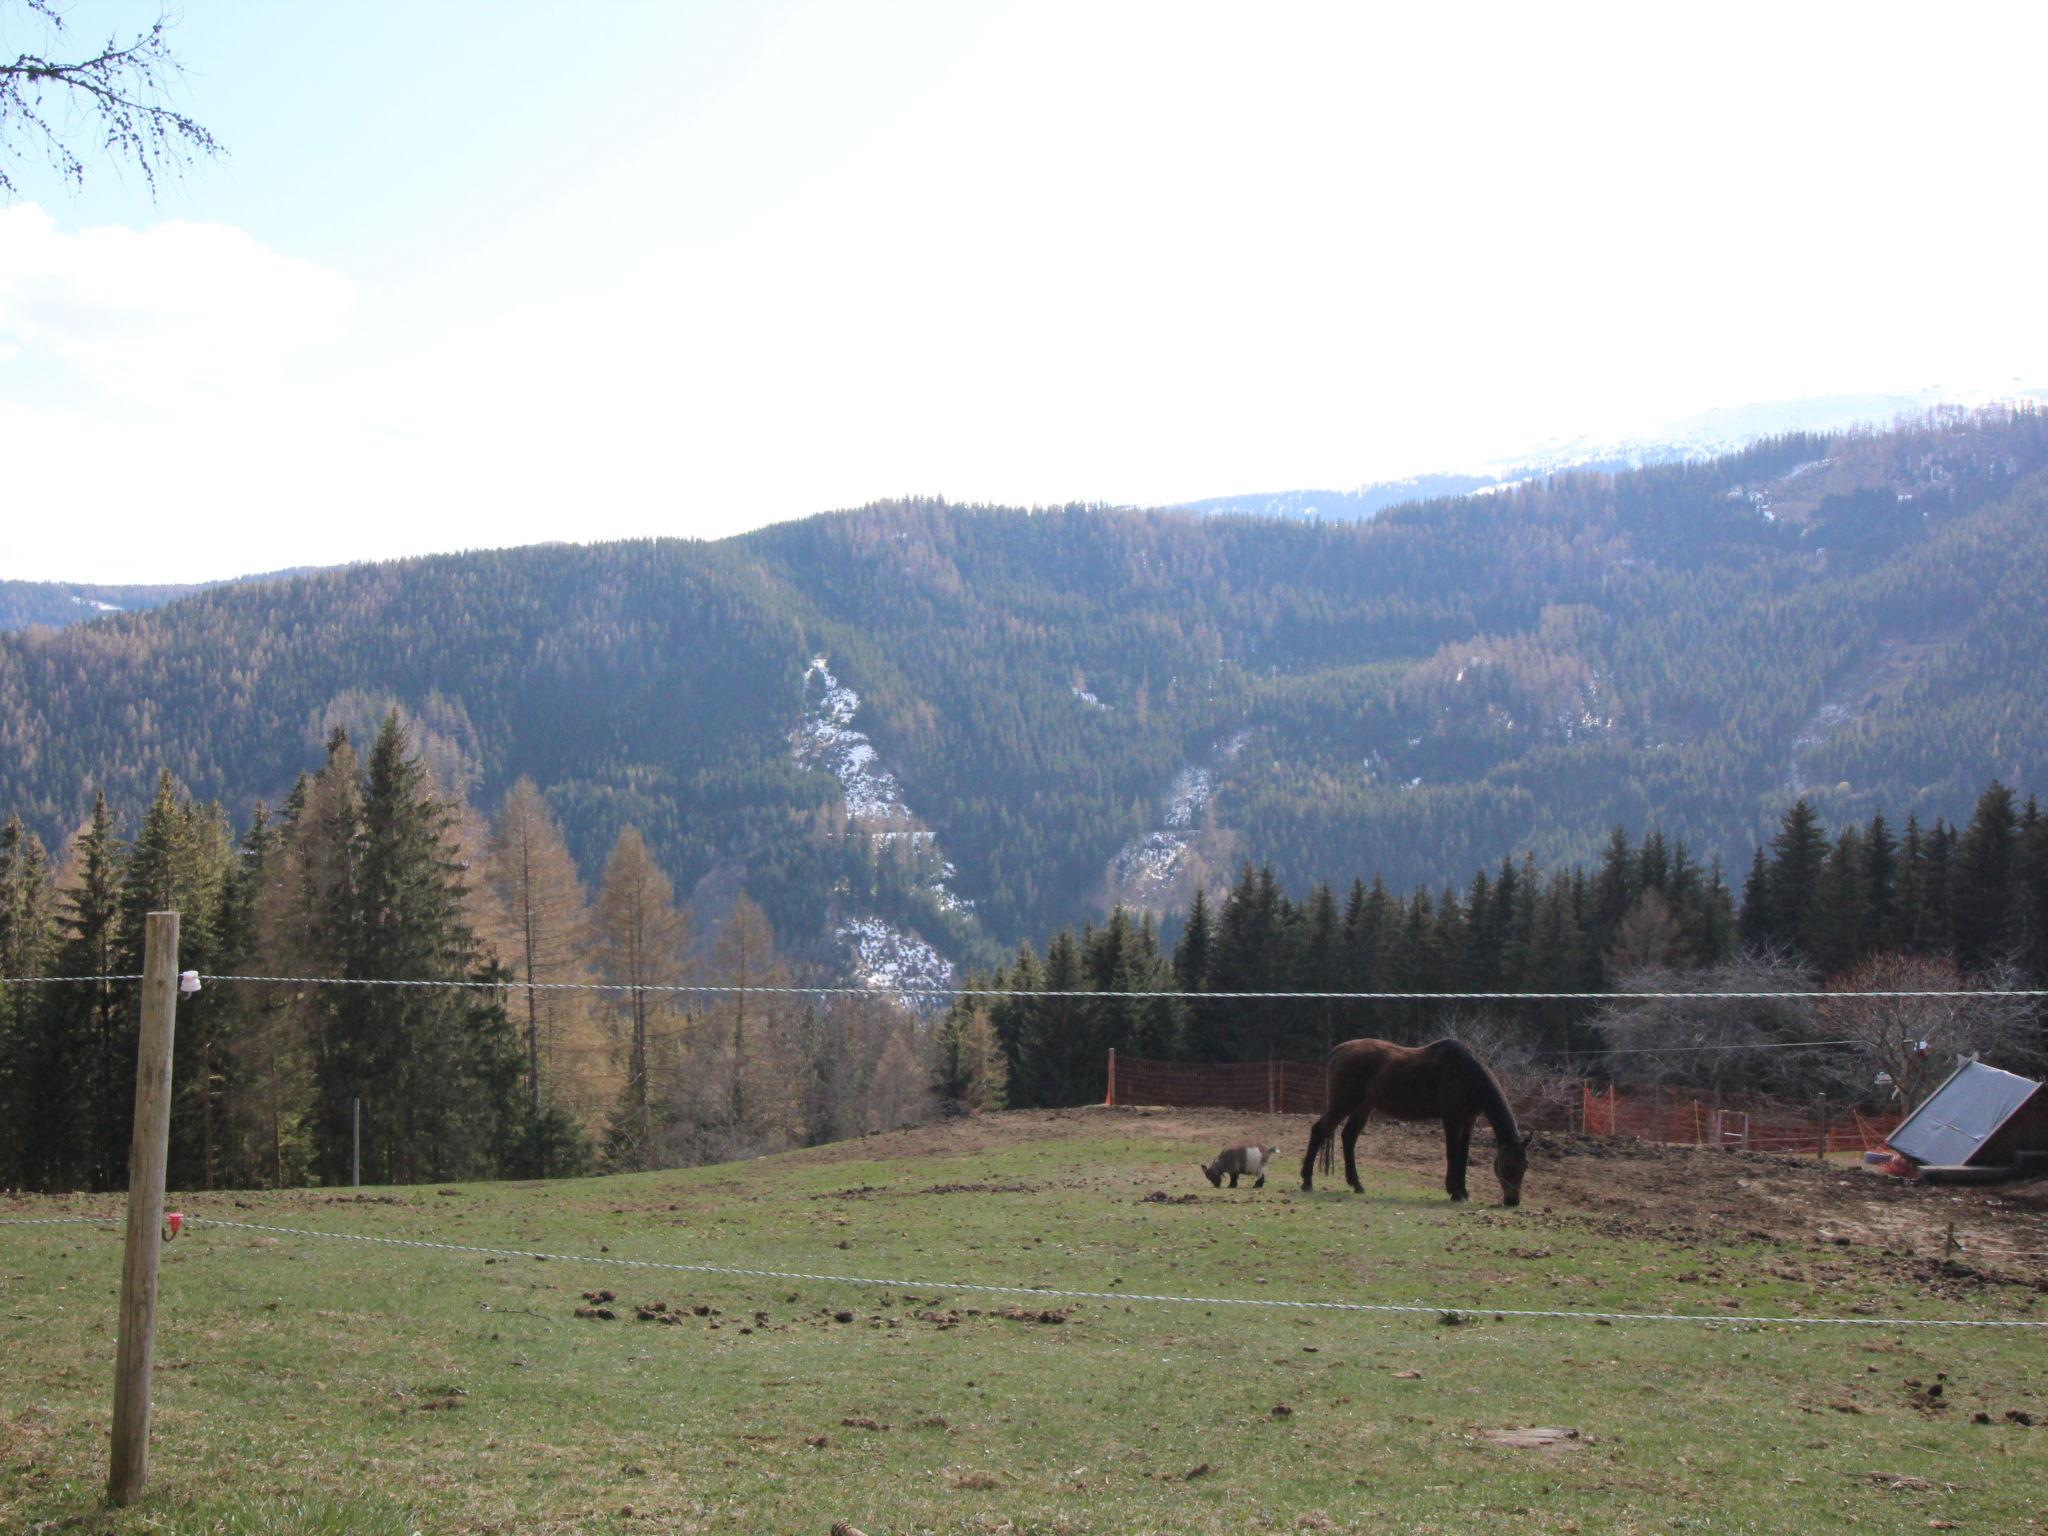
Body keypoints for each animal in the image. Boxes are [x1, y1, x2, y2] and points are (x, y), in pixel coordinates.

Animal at [1302, 1040, 1531, 1212]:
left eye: (1525, 1166)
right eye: (1506, 1164)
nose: (1512, 1201)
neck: (1465, 1073)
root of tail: (1338, 1051)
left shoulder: (1469, 1120)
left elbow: (1464, 1155)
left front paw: (1464, 1192)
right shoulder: (1451, 1119)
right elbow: (1453, 1154)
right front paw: (1455, 1192)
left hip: (1363, 1108)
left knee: (1348, 1137)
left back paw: (1357, 1185)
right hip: (1343, 1104)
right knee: (1319, 1131)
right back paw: (1307, 1182)